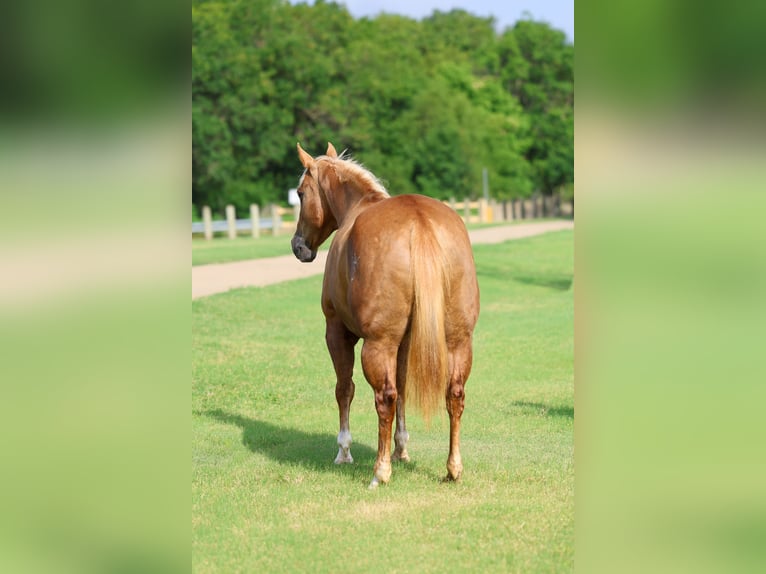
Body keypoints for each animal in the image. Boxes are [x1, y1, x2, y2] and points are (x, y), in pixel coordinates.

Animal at [291, 142, 480, 488]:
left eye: (300, 193)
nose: (298, 246)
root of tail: (419, 223)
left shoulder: (336, 331)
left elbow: (345, 388)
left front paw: (344, 451)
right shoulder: (404, 342)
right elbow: (404, 388)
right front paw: (401, 449)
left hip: (377, 344)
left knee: (384, 397)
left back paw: (380, 471)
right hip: (458, 341)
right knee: (454, 395)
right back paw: (453, 468)